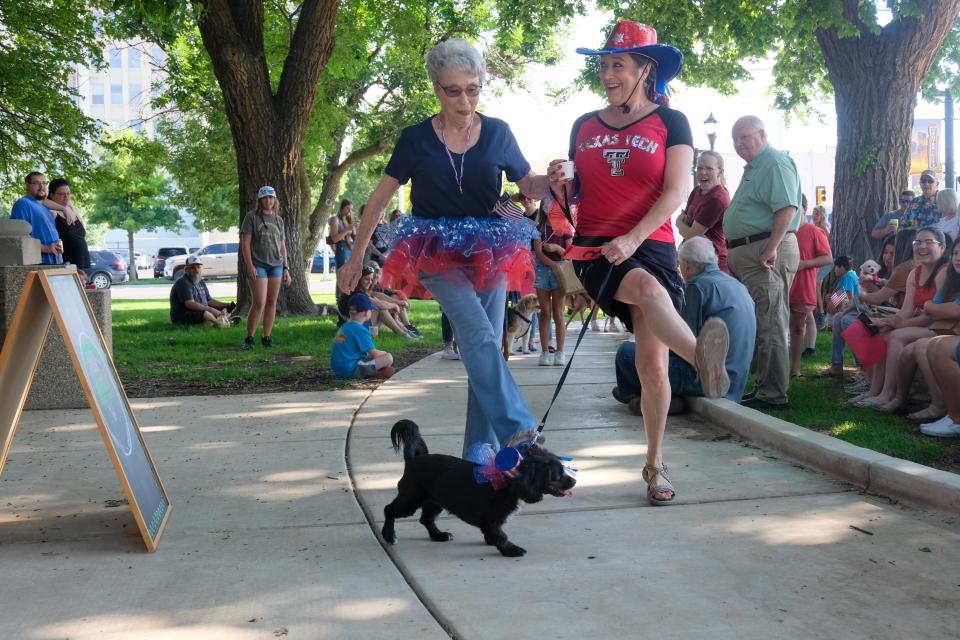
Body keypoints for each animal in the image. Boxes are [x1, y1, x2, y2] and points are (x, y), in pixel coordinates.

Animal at [382, 418, 576, 556]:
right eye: (557, 475)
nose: (574, 481)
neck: (511, 481)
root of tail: (412, 460)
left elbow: (493, 534)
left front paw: (492, 541)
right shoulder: (493, 518)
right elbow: (501, 535)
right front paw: (511, 549)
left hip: (435, 501)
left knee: (426, 519)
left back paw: (439, 535)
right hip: (411, 499)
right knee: (389, 510)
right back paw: (389, 535)